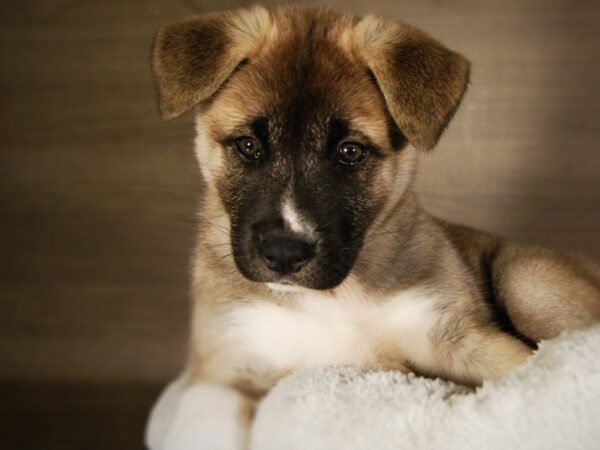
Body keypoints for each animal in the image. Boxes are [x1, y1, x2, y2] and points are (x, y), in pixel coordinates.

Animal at [145, 7, 600, 450]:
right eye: (248, 146)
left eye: (351, 152)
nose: (285, 255)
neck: (327, 301)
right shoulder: (225, 365)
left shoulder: (450, 334)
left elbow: (524, 372)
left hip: (526, 280)